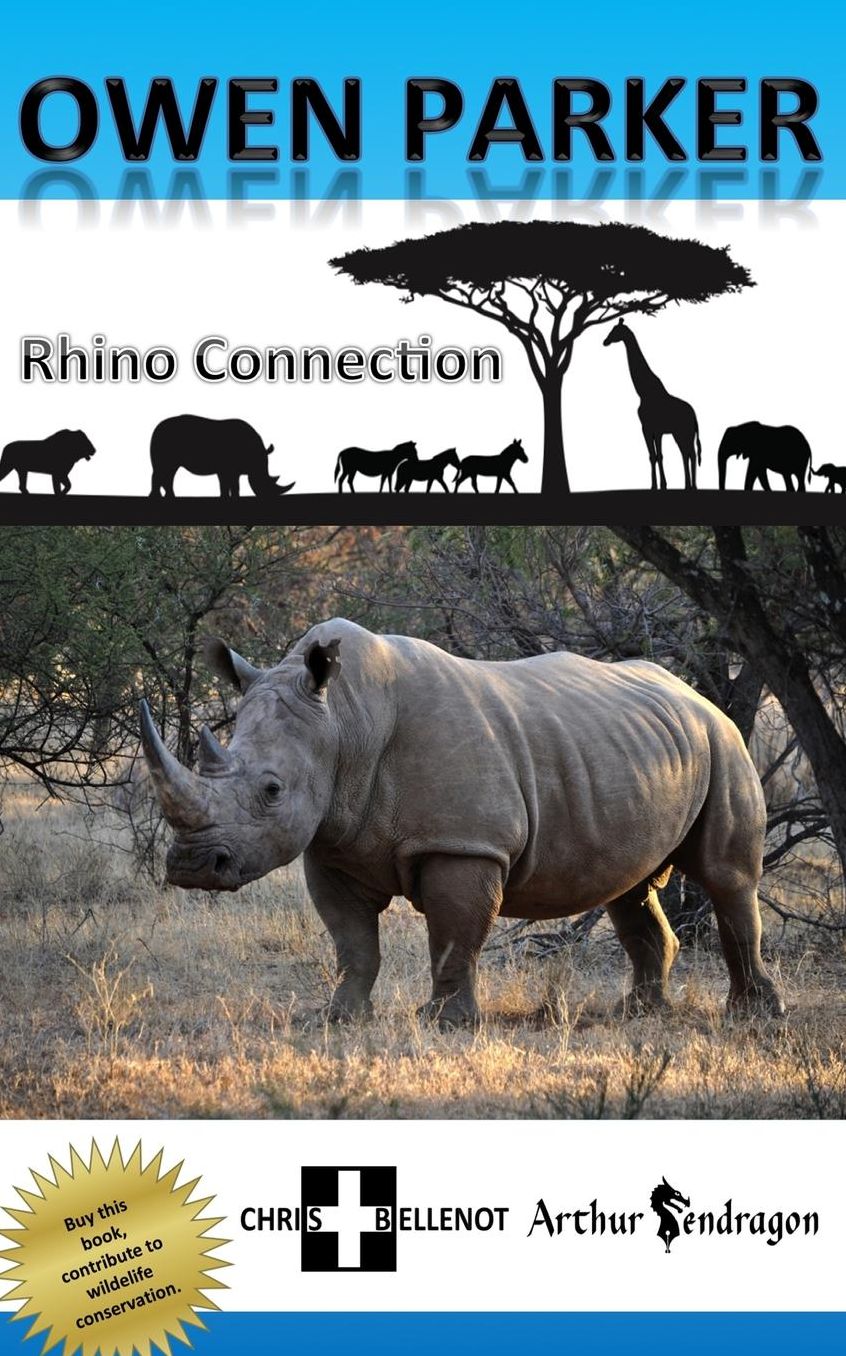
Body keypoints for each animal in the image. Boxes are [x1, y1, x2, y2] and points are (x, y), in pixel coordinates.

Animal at [139, 618, 784, 1027]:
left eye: (271, 791)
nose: (193, 867)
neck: (344, 722)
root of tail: (692, 693)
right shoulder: (331, 842)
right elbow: (352, 941)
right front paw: (338, 1017)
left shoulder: (464, 844)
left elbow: (453, 937)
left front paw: (444, 1023)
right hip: (642, 750)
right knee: (628, 886)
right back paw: (638, 1013)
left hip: (723, 740)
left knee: (727, 879)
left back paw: (754, 1015)